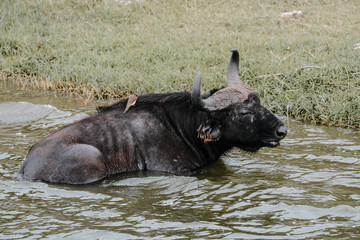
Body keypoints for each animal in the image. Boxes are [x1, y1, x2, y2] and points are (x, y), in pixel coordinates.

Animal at [19, 48, 286, 184]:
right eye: (244, 112)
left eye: (260, 102)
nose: (281, 130)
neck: (184, 129)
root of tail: (26, 166)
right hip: (90, 157)